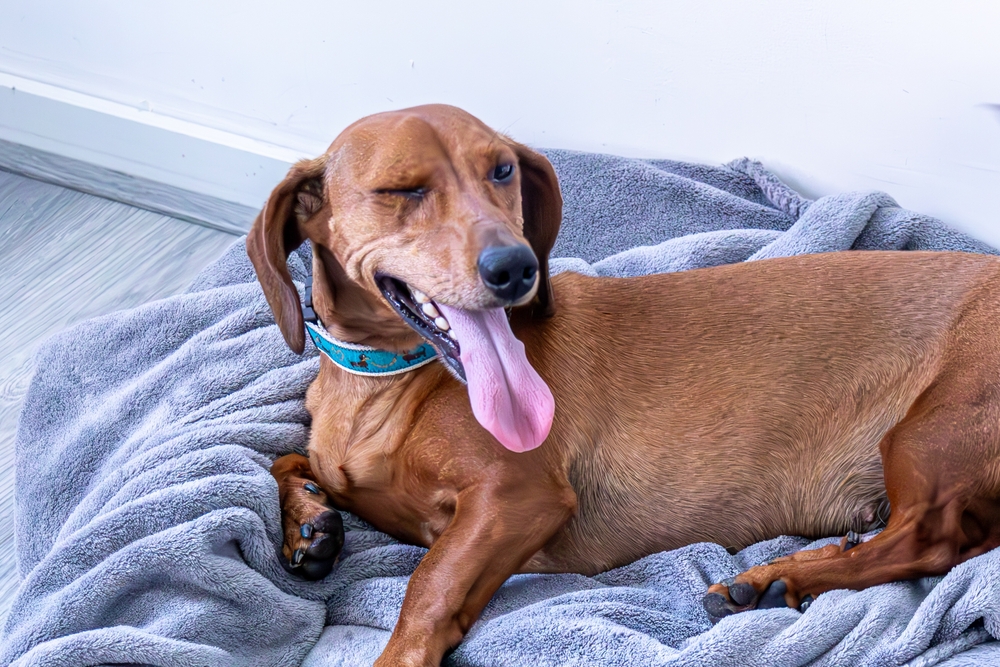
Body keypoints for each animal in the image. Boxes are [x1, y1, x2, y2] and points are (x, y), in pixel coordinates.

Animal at [246, 103, 1000, 664]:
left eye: (501, 171)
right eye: (402, 190)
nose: (516, 267)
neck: (390, 383)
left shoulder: (517, 497)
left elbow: (427, 587)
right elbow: (281, 458)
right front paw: (309, 521)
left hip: (928, 433)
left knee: (929, 543)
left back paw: (779, 576)